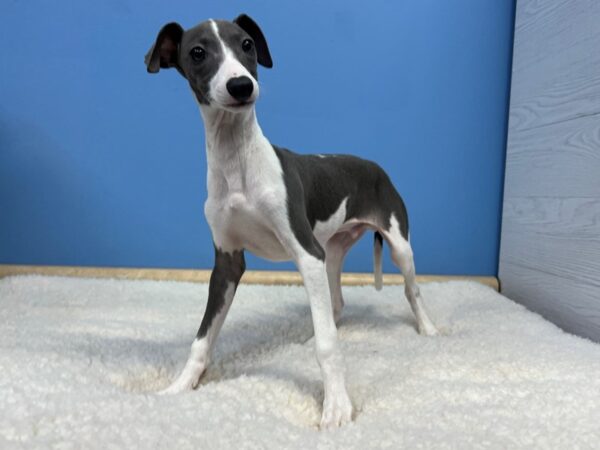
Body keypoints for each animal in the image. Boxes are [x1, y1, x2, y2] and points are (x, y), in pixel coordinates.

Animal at [145, 13, 436, 428]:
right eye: (197, 52)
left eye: (247, 44)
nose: (240, 86)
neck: (238, 163)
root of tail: (375, 166)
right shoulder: (228, 262)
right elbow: (202, 338)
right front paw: (180, 387)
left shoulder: (305, 252)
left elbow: (329, 345)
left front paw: (337, 407)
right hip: (331, 252)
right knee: (336, 303)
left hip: (396, 244)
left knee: (412, 289)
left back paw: (428, 329)